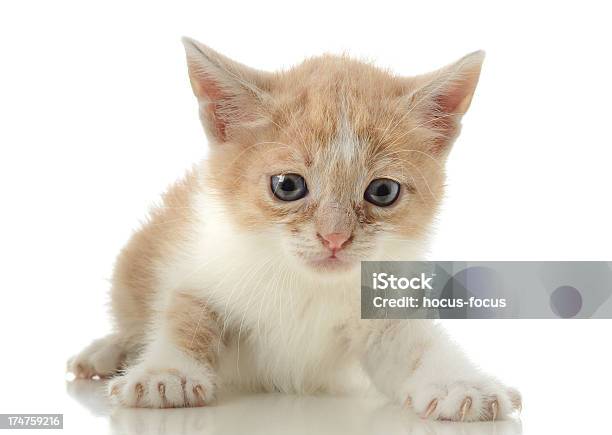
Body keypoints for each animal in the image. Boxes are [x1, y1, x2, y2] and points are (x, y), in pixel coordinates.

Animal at [68, 38, 520, 422]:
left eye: (383, 191)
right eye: (287, 186)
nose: (334, 237)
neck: (306, 285)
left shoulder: (381, 306)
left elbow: (413, 346)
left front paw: (460, 383)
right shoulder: (199, 260)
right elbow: (186, 314)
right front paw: (166, 373)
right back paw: (105, 351)